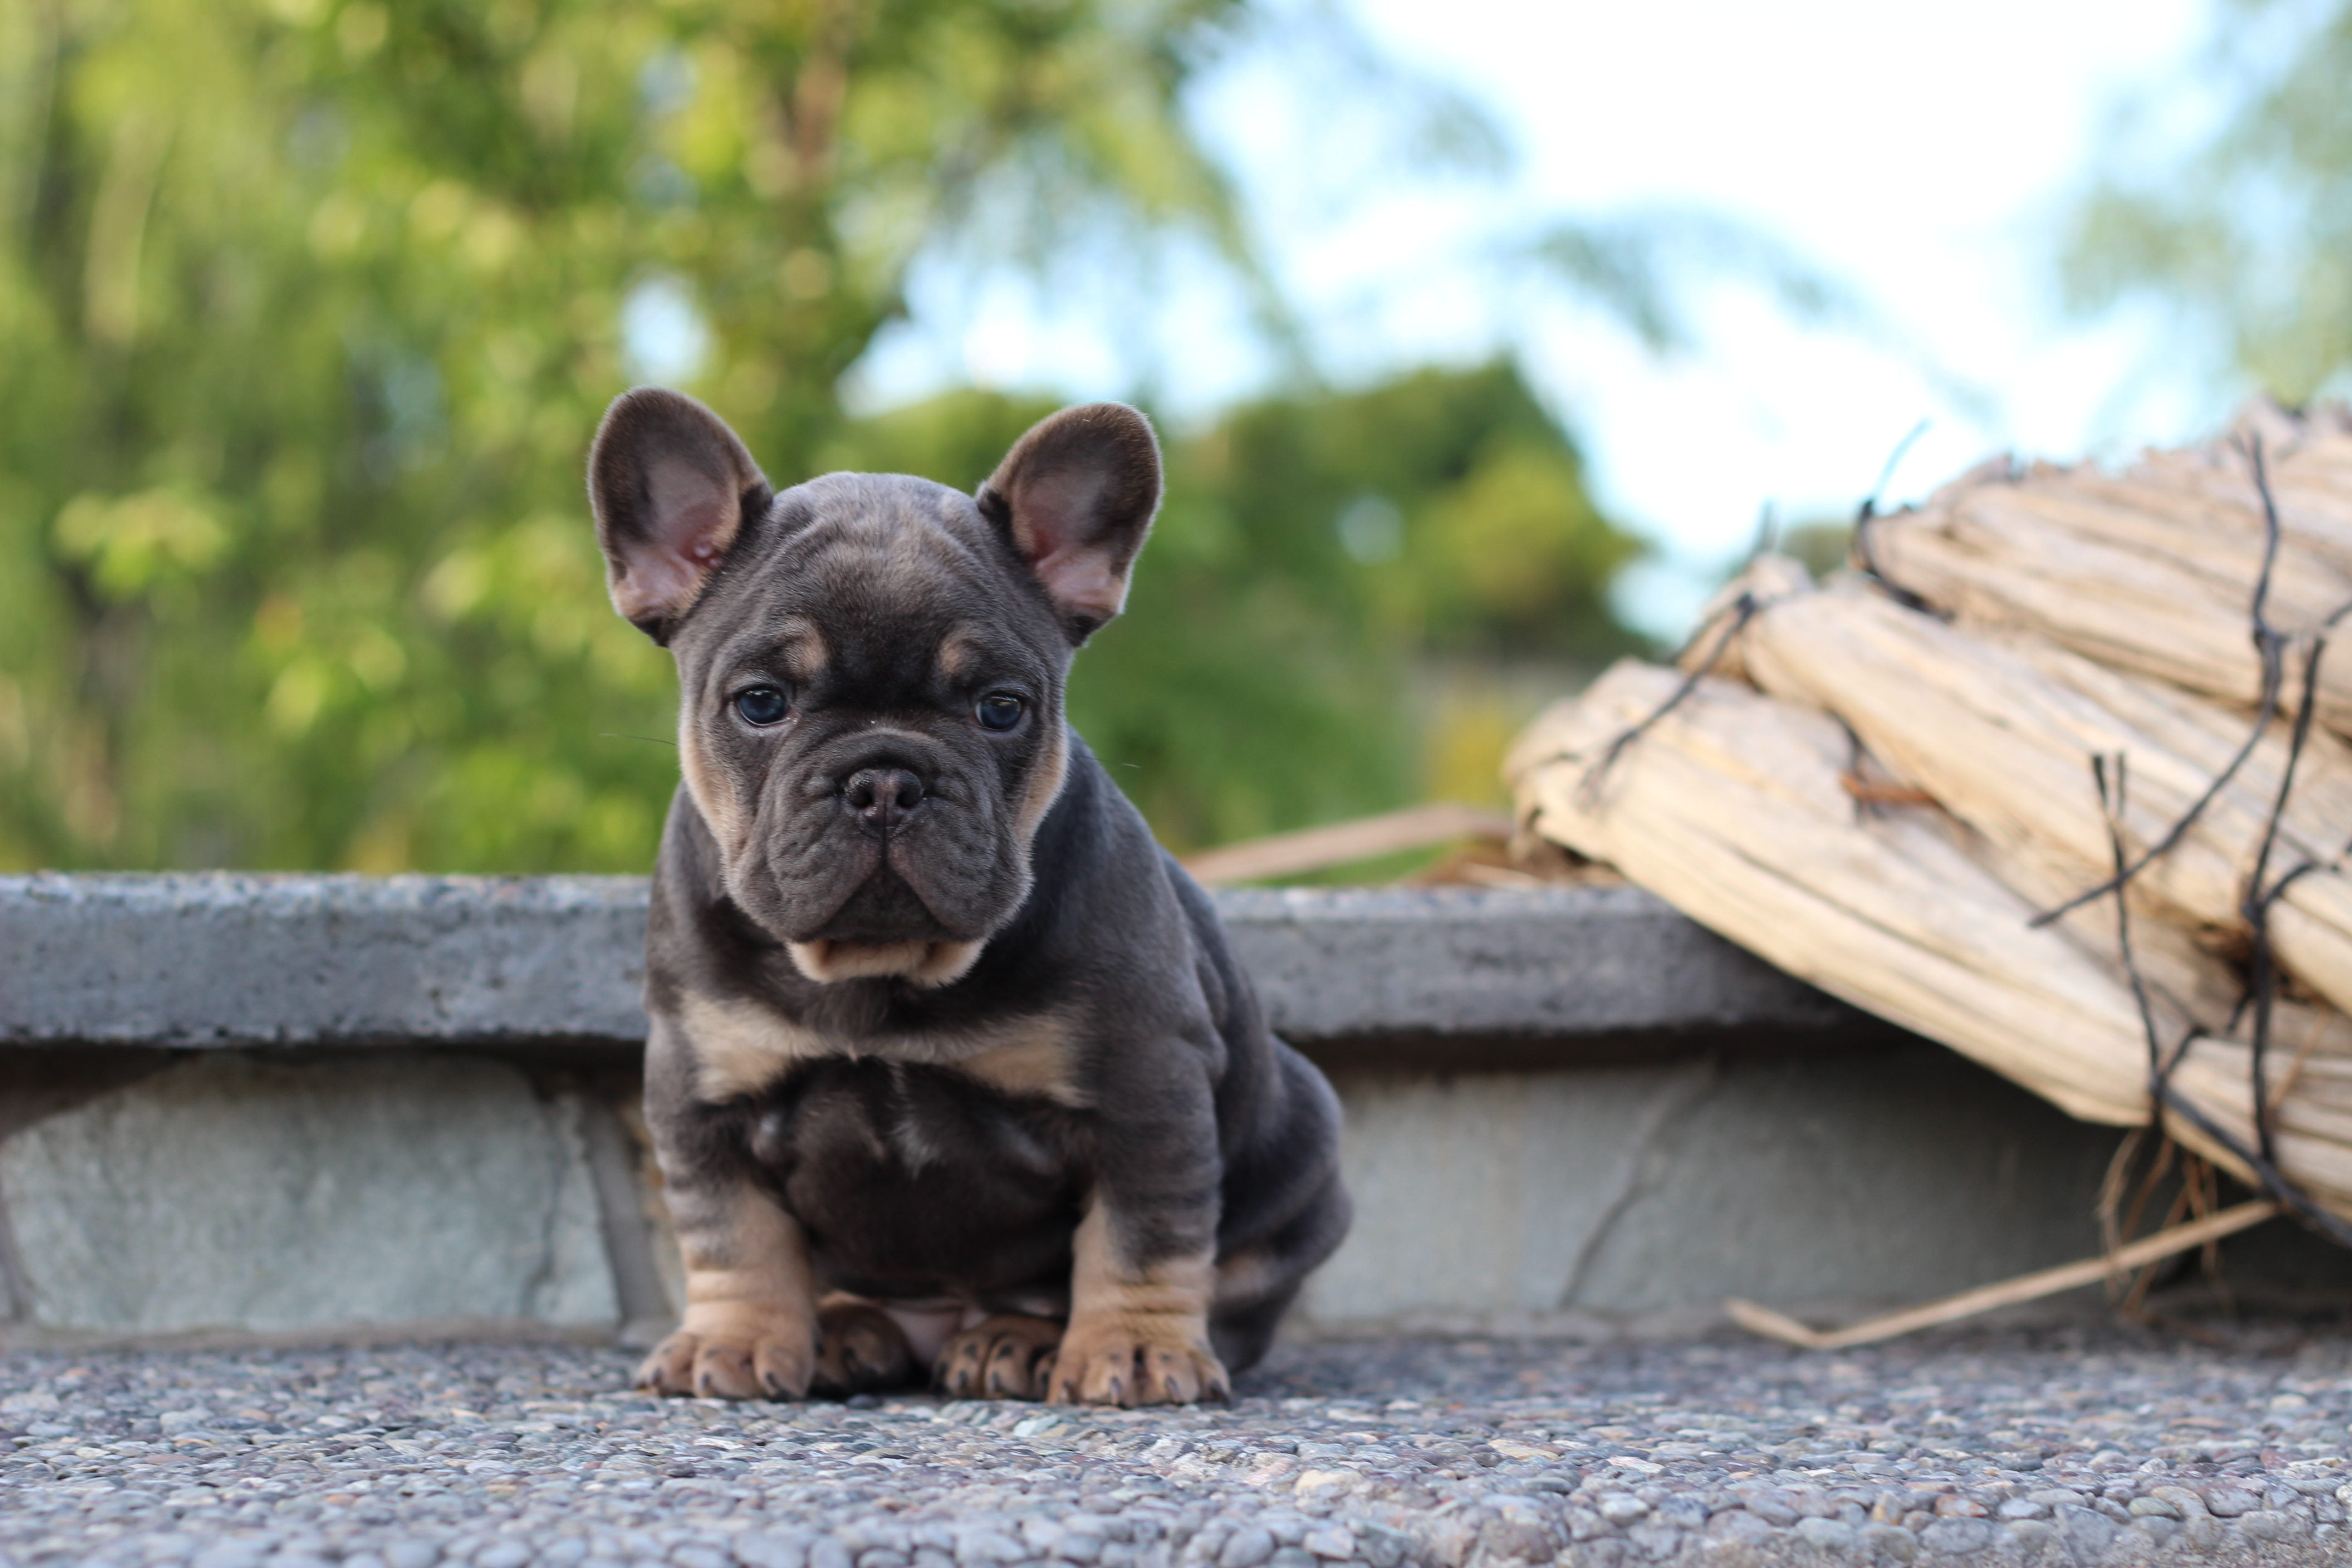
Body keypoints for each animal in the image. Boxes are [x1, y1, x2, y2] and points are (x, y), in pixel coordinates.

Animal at [588, 385, 1354, 1401]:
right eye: (760, 703)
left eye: (1000, 708)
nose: (884, 780)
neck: (881, 973)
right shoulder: (703, 1088)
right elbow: (734, 1238)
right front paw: (740, 1341)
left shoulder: (1145, 1089)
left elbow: (1144, 1236)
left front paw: (1133, 1350)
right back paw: (847, 1330)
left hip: (1301, 1152)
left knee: (1221, 1285)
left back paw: (1017, 1340)